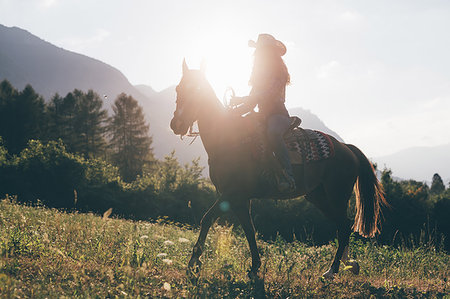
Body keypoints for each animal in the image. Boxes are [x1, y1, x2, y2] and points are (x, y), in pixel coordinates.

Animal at [169, 59, 386, 280]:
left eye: (197, 91)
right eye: (178, 88)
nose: (176, 124)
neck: (229, 138)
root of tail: (346, 148)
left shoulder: (232, 194)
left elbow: (207, 219)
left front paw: (194, 262)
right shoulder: (239, 199)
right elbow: (249, 230)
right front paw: (254, 267)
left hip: (337, 196)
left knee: (343, 227)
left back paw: (332, 270)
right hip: (319, 197)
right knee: (342, 226)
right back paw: (348, 263)